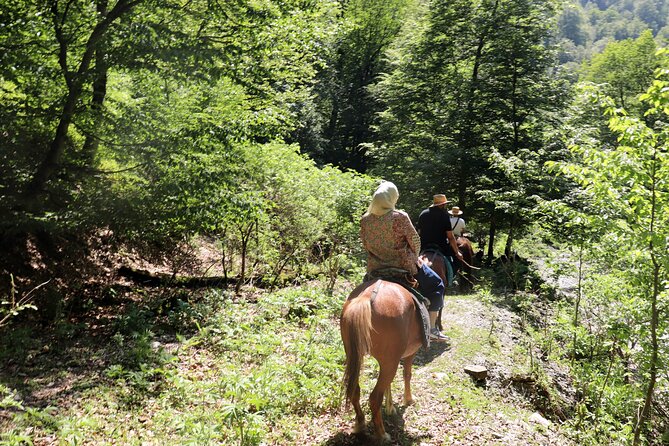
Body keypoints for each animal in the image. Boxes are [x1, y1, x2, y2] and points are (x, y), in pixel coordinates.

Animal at [342, 280, 420, 440]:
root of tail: (366, 297)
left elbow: (389, 384)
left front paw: (390, 407)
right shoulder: (409, 354)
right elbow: (407, 375)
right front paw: (408, 399)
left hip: (355, 356)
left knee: (355, 390)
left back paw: (360, 424)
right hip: (390, 363)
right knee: (374, 397)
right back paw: (382, 434)